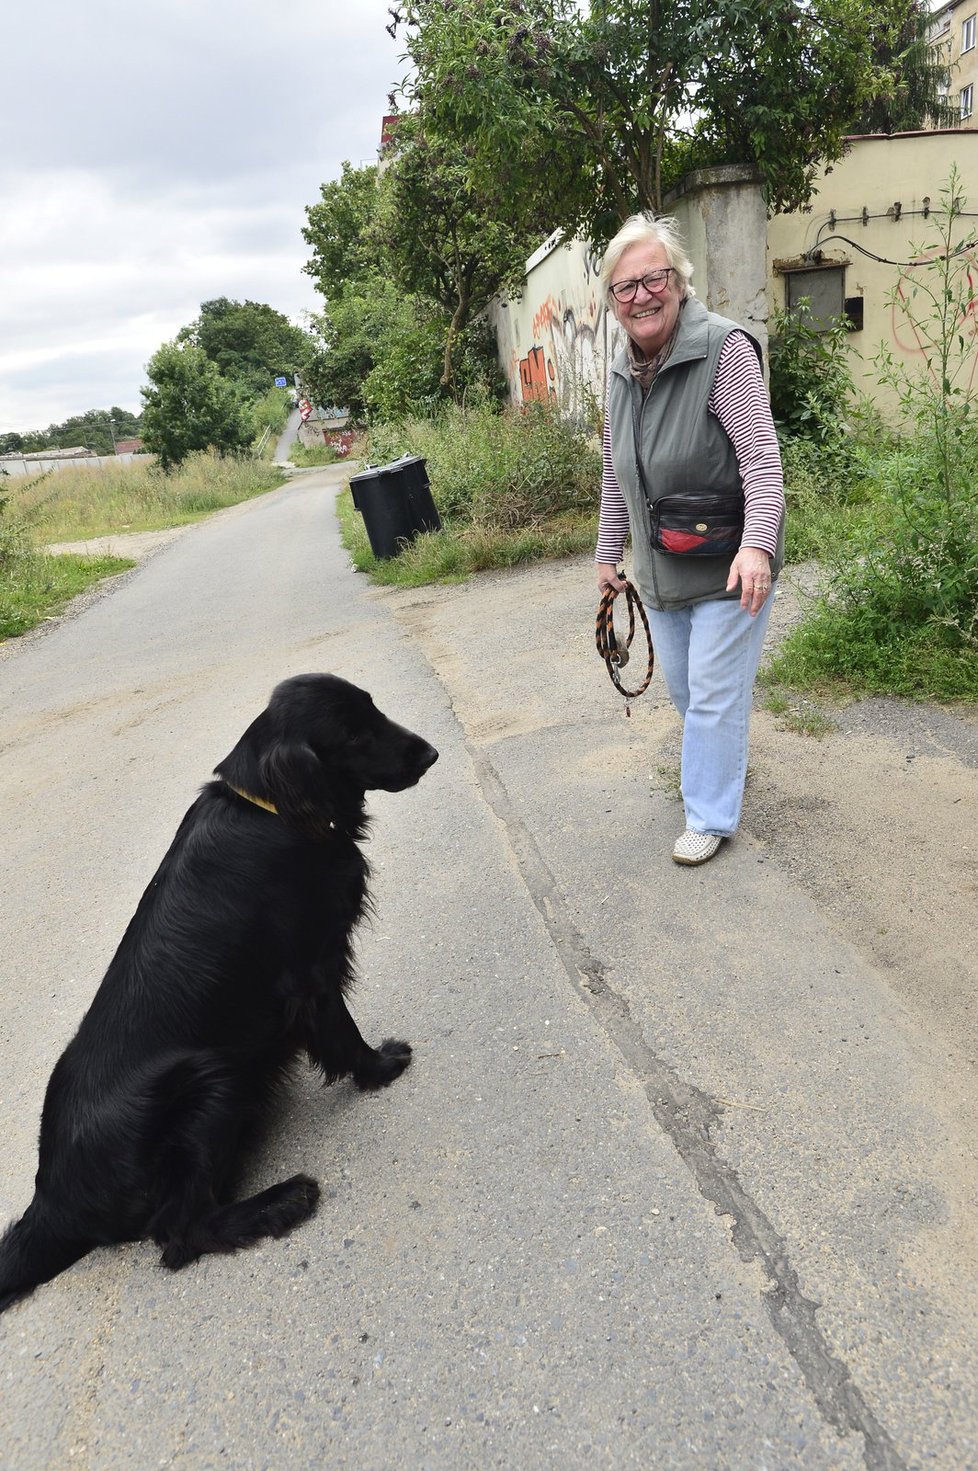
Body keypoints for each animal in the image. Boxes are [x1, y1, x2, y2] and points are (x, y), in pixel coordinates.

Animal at [0, 673, 435, 1312]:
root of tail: (52, 1202)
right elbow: (341, 1032)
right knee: (180, 1235)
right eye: (354, 736)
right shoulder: (309, 969)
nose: (430, 754)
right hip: (208, 1077)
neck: (271, 808)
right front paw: (378, 1068)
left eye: (375, 710)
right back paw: (282, 1202)